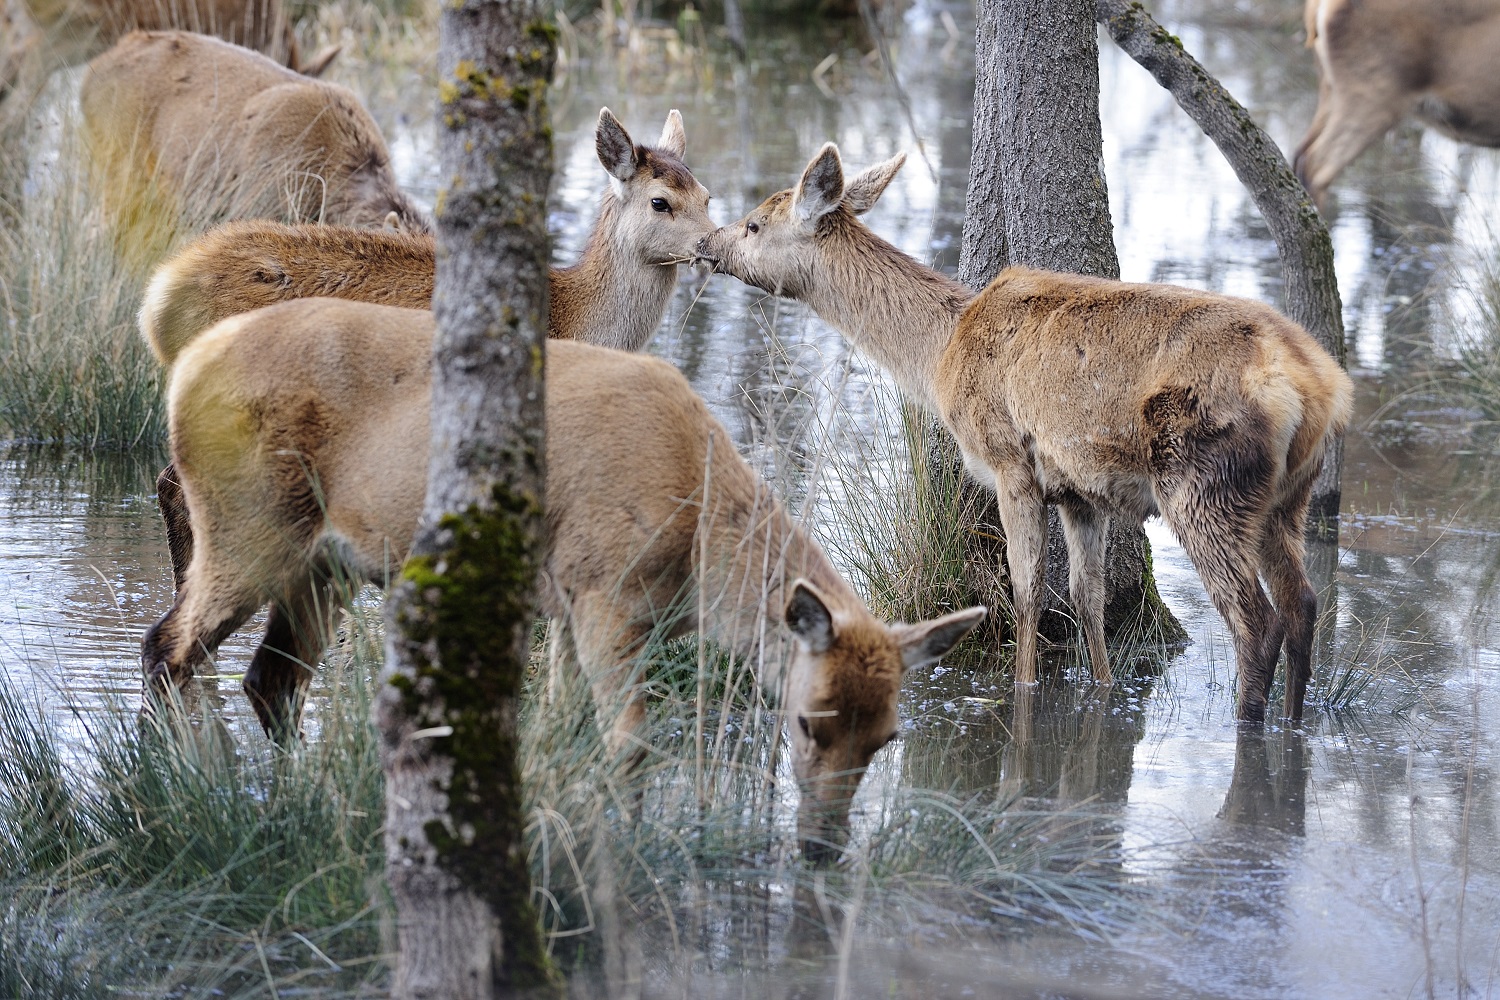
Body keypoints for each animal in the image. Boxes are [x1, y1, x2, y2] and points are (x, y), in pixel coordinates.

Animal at [138, 107, 711, 593]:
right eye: (661, 200)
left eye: (707, 197)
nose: (711, 246)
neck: (573, 319)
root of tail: (158, 302)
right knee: (181, 489)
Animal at [138, 295, 984, 863]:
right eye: (808, 722)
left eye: (887, 736)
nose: (822, 849)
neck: (696, 549)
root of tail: (182, 372)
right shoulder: (604, 589)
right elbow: (630, 740)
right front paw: (624, 843)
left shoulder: (574, 606)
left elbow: (567, 727)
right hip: (249, 517)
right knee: (169, 646)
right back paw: (186, 791)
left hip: (327, 561)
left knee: (270, 677)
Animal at [696, 144, 1356, 722]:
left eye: (754, 224)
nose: (705, 241)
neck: (939, 357)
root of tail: (1318, 387)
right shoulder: (1080, 491)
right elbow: (1087, 593)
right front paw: (1102, 686)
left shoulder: (1009, 460)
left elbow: (1026, 586)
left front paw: (1024, 687)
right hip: (1285, 495)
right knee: (1302, 602)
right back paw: (1293, 720)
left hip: (1203, 478)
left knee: (1257, 619)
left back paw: (1249, 719)